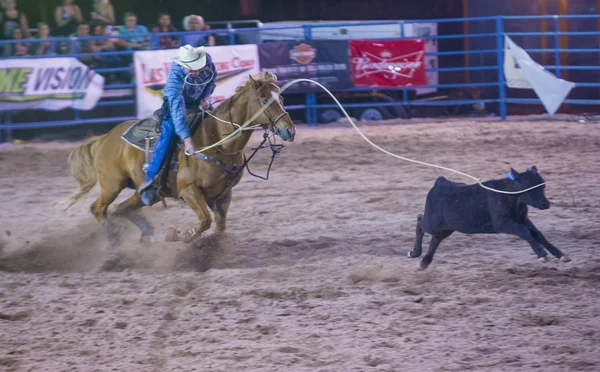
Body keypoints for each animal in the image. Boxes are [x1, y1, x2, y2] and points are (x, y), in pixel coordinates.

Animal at [60, 72, 296, 244]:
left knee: (121, 209)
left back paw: (146, 234)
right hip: (112, 183)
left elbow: (219, 227)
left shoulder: (222, 195)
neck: (217, 141)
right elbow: (204, 221)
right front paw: (178, 235)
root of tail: (104, 138)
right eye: (264, 99)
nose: (289, 130)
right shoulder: (189, 190)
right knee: (98, 208)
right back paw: (114, 240)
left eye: (282, 98)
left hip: (144, 192)